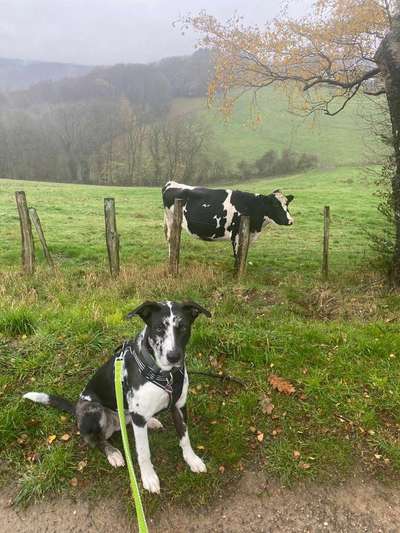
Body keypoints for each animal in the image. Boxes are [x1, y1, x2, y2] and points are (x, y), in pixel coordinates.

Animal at [23, 302, 211, 492]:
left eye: (183, 327)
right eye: (159, 328)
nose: (173, 357)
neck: (166, 375)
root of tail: (76, 408)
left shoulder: (178, 406)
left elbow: (185, 437)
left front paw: (192, 459)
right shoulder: (139, 419)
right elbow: (143, 452)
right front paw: (149, 478)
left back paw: (150, 422)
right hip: (93, 409)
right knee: (95, 440)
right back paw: (113, 453)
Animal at [162, 180, 294, 258]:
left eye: (287, 204)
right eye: (275, 204)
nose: (290, 220)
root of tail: (171, 183)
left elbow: (244, 254)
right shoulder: (236, 235)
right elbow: (238, 255)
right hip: (170, 220)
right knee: (171, 240)